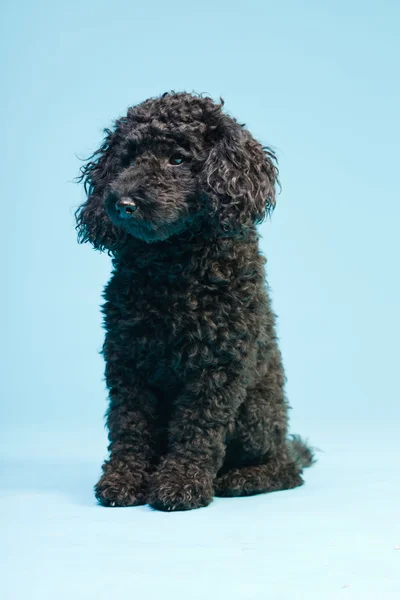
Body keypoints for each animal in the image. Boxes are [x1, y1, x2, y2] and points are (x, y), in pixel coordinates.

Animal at [74, 90, 312, 510]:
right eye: (127, 158)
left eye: (178, 159)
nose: (123, 204)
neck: (173, 264)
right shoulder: (128, 360)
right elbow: (130, 425)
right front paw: (123, 479)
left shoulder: (217, 366)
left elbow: (197, 429)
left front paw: (181, 483)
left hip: (255, 414)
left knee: (287, 468)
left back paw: (242, 479)